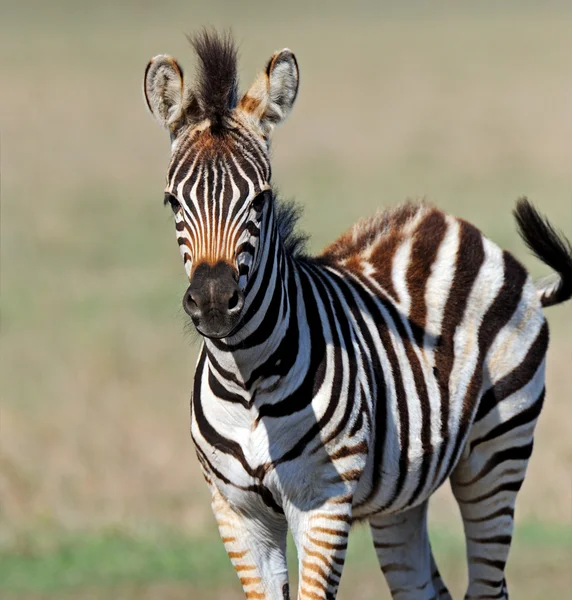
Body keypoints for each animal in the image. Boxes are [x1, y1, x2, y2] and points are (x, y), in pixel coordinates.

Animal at [143, 31, 572, 600]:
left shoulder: (323, 501)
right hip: (403, 494)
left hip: (497, 452)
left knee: (488, 584)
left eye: (261, 199)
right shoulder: (235, 510)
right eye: (172, 202)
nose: (213, 300)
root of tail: (459, 228)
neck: (246, 378)